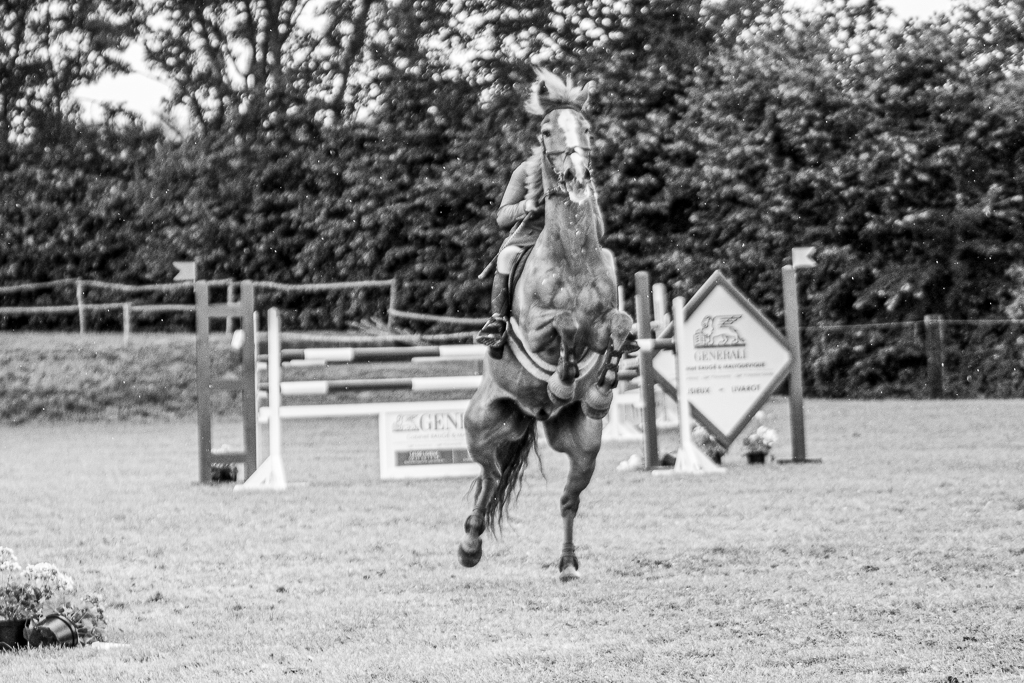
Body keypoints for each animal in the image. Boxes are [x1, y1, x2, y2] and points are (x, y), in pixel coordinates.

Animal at [458, 70, 634, 581]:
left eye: (587, 128)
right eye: (545, 131)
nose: (576, 176)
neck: (572, 254)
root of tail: (529, 416)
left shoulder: (607, 321)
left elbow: (618, 326)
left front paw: (600, 387)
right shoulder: (537, 328)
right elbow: (565, 324)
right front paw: (562, 380)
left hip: (584, 447)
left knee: (568, 500)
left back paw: (569, 562)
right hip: (480, 427)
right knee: (490, 478)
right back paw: (469, 546)